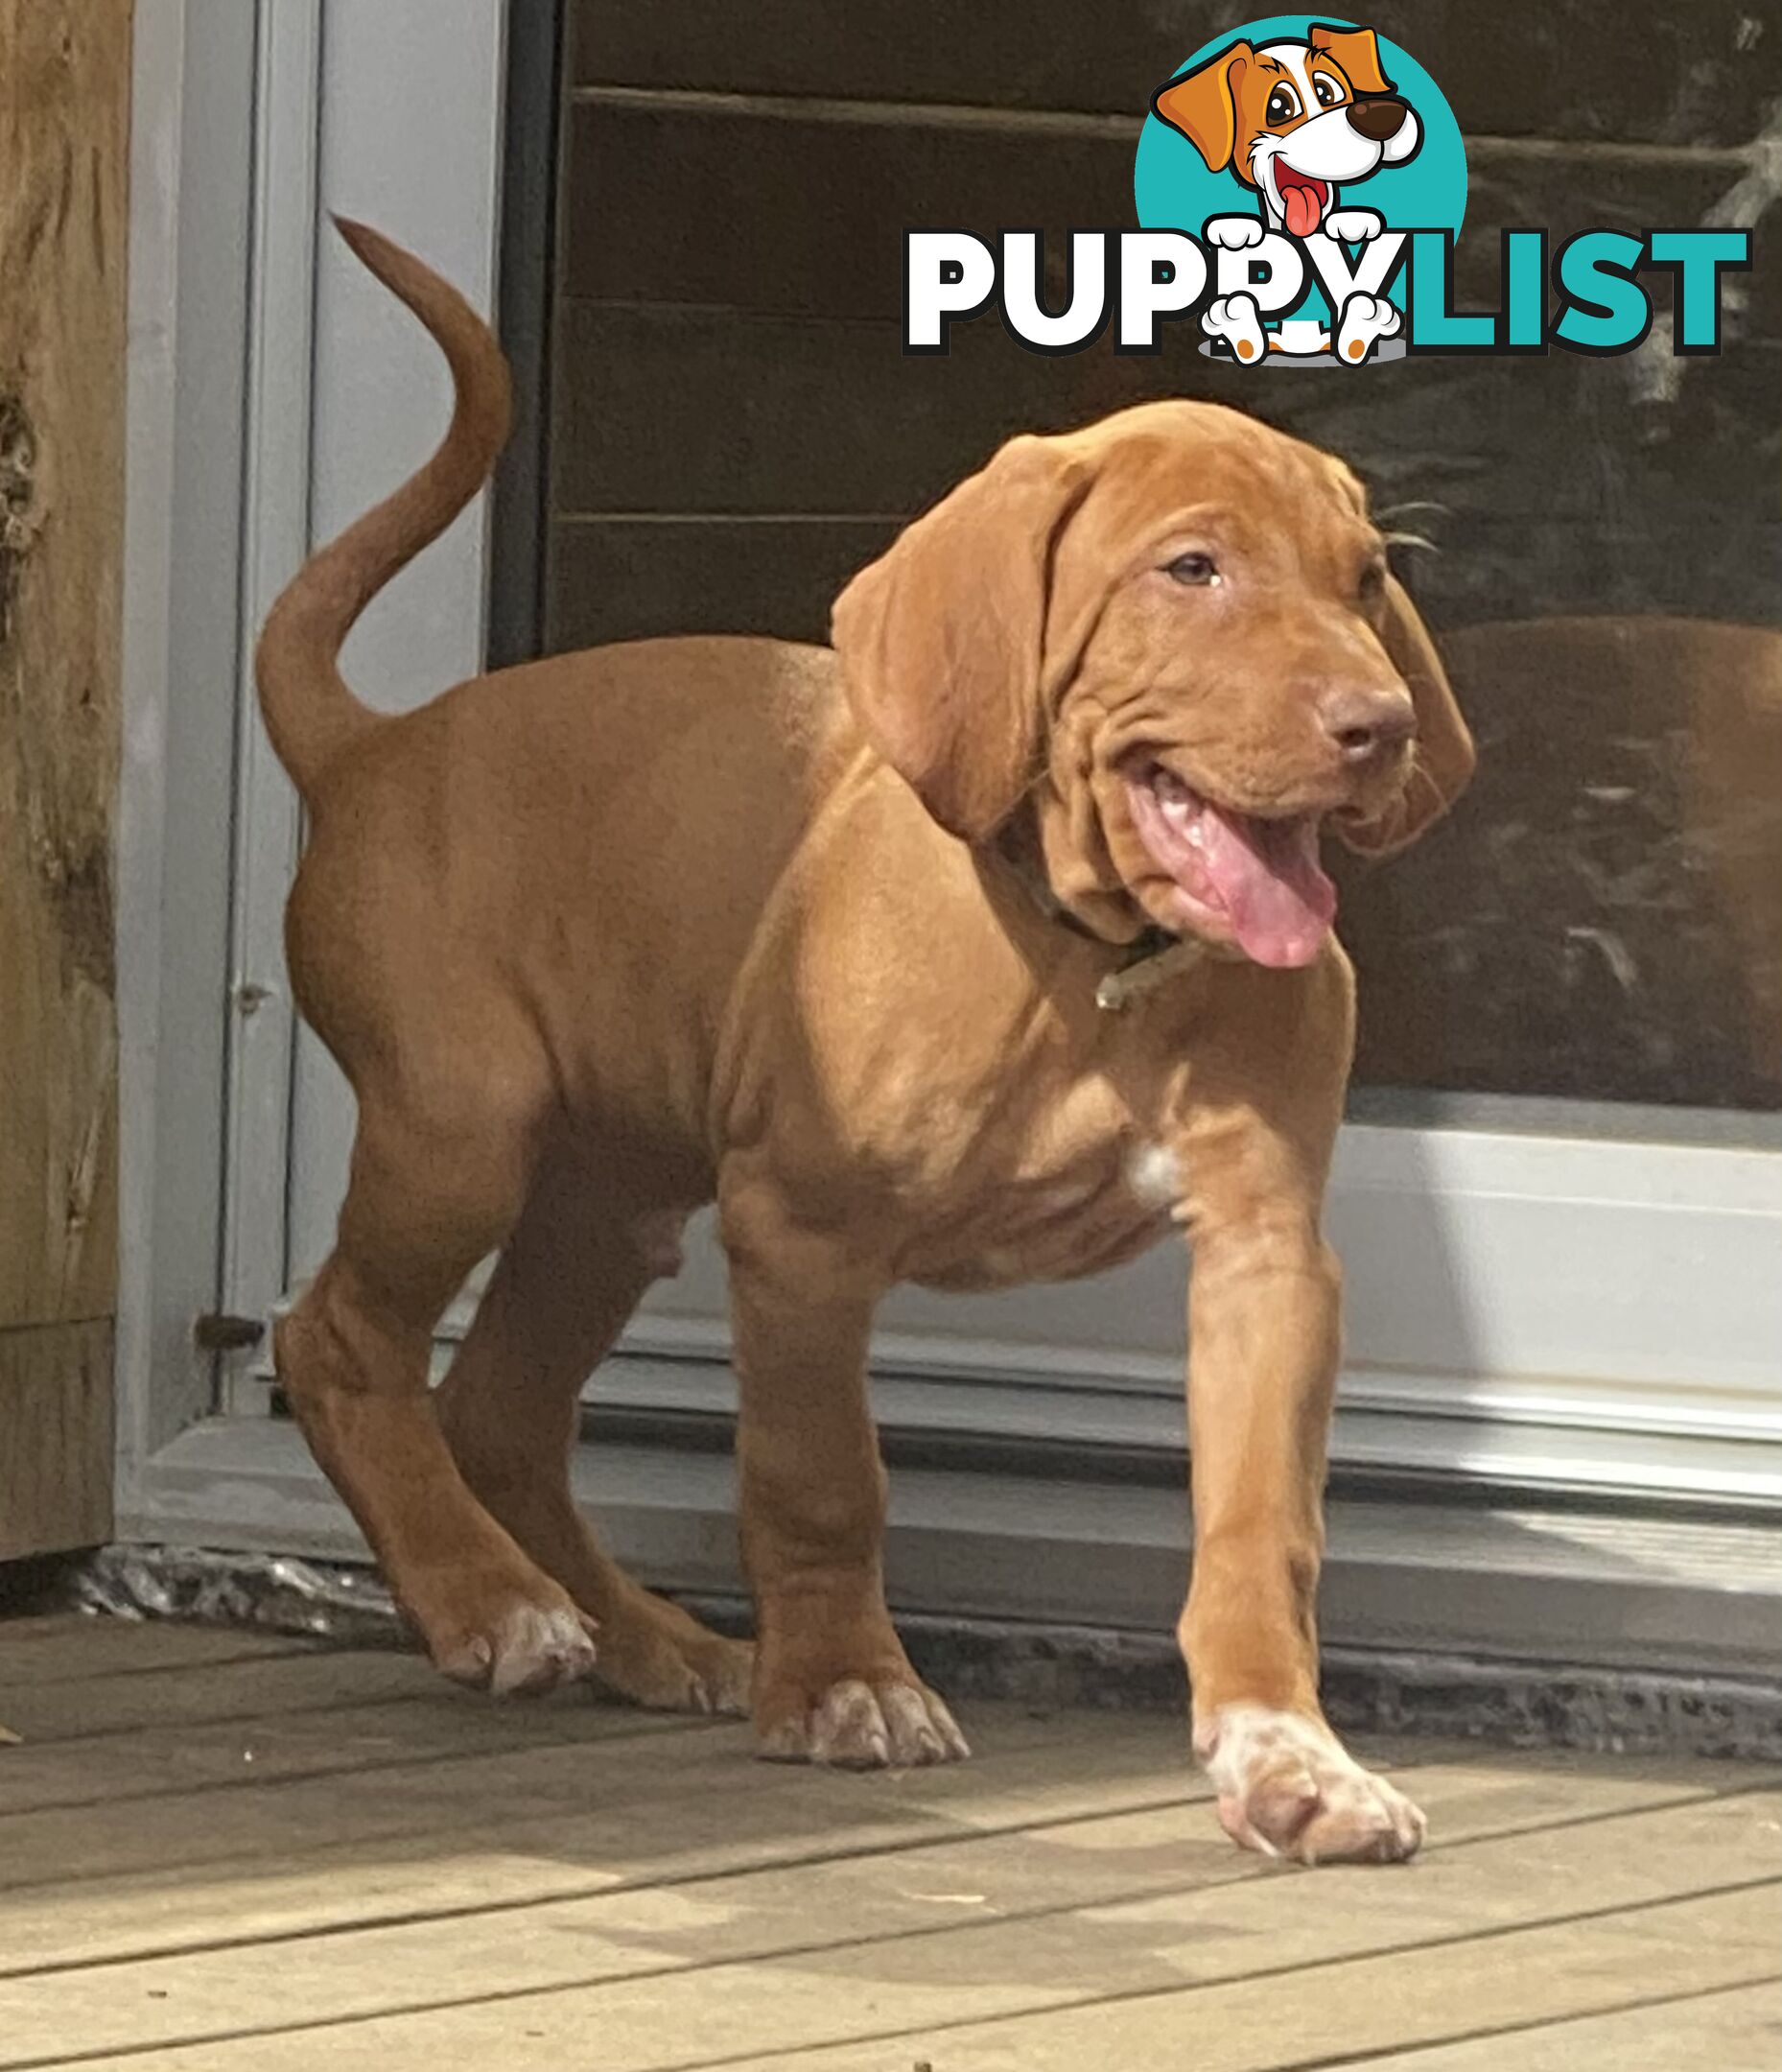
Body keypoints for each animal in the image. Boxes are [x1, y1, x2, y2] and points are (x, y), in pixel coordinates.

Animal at [253, 223, 1475, 1865]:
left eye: (1364, 579)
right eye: (1190, 569)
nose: (1379, 722)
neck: (1088, 960)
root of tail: (373, 747)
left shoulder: (1267, 1253)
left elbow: (1259, 1523)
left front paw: (1291, 1756)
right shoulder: (802, 1234)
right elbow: (821, 1477)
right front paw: (845, 1686)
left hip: (609, 1193)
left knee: (495, 1405)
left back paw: (642, 1637)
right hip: (465, 1131)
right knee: (338, 1343)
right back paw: (487, 1602)